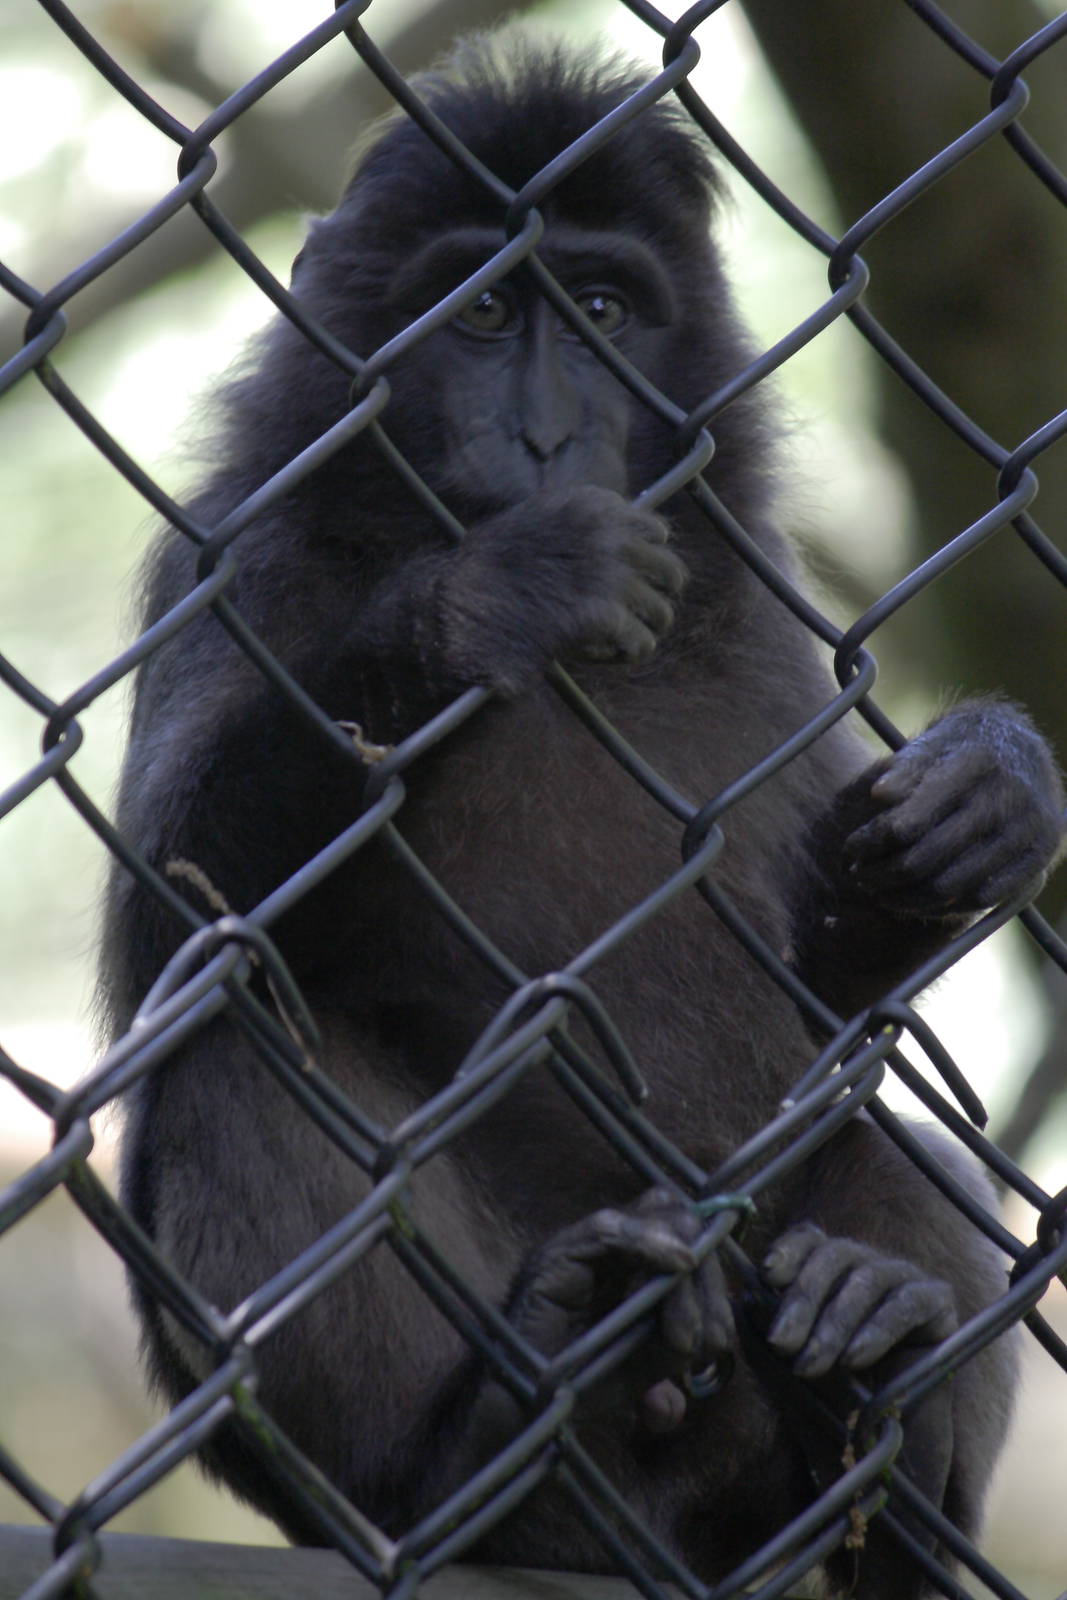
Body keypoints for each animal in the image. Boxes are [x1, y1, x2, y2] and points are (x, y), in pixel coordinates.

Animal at [101, 34, 1064, 1600]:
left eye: (602, 311)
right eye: (488, 311)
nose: (549, 433)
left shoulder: (755, 602)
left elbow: (827, 989)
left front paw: (986, 796)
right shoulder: (239, 550)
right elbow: (170, 921)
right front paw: (485, 603)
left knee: (871, 1138)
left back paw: (886, 1399)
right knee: (234, 1032)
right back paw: (499, 1450)